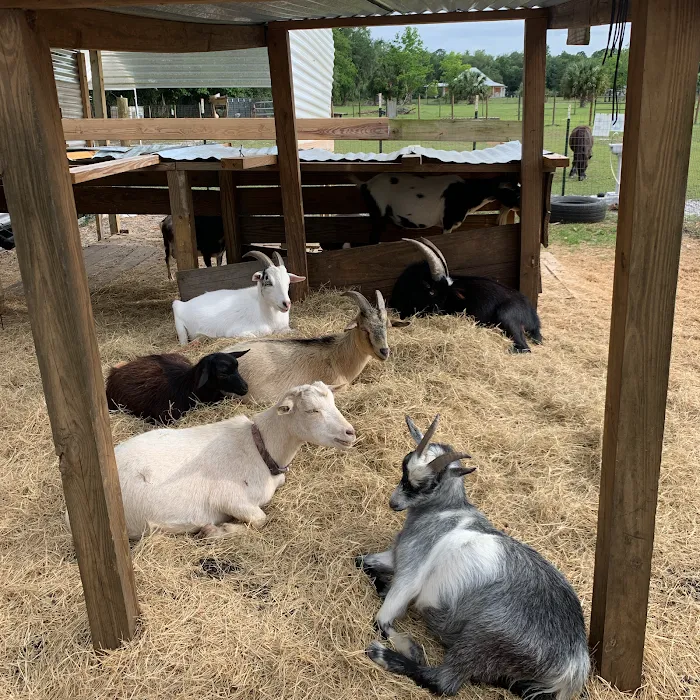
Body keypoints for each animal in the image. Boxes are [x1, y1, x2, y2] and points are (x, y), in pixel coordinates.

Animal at [109, 382, 355, 540]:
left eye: (334, 403)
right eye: (311, 410)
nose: (350, 433)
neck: (259, 446)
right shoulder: (230, 499)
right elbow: (261, 520)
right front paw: (214, 531)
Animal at [171, 250, 306, 345]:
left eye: (288, 281)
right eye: (268, 280)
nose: (286, 303)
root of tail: (181, 304)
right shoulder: (236, 331)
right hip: (180, 327)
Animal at [353, 174, 520, 246]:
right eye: (513, 192)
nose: (519, 205)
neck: (467, 192)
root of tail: (366, 184)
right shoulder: (448, 222)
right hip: (378, 213)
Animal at [359, 415, 590, 699]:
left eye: (428, 483)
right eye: (405, 465)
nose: (394, 503)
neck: (446, 511)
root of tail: (574, 666)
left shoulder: (410, 573)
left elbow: (382, 618)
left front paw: (409, 645)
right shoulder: (394, 558)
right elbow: (362, 562)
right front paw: (381, 585)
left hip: (485, 636)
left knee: (444, 681)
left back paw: (383, 655)